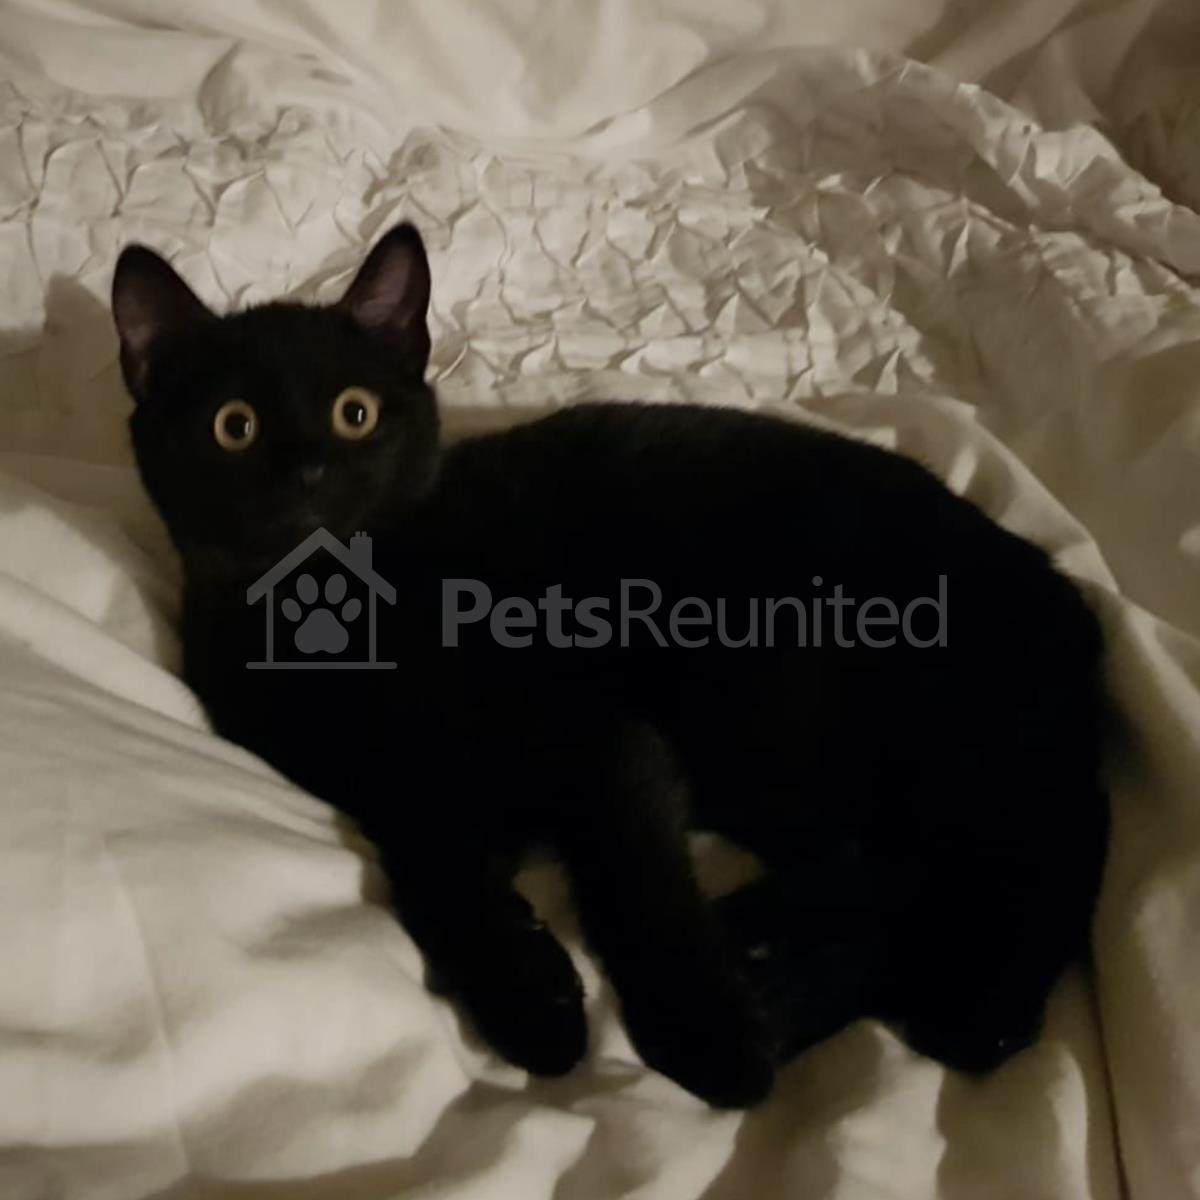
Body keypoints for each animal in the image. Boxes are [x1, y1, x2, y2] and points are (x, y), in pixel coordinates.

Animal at [111, 222, 1109, 1108]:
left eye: (354, 413)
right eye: (232, 427)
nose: (309, 472)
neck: (343, 620)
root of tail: (1064, 608)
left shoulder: (598, 740)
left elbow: (639, 884)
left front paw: (706, 1040)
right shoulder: (397, 791)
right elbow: (435, 880)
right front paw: (531, 1000)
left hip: (787, 689)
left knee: (923, 876)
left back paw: (757, 972)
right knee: (901, 883)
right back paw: (765, 961)